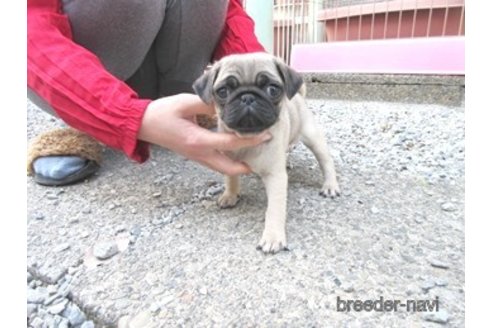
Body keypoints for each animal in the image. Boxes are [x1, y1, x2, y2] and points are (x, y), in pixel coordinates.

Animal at [194, 53, 340, 254]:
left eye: (272, 89)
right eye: (223, 91)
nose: (247, 97)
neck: (248, 137)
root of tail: (298, 97)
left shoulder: (275, 177)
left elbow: (275, 209)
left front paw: (273, 237)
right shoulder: (228, 157)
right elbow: (231, 178)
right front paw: (230, 195)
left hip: (313, 138)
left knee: (326, 161)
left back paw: (330, 185)